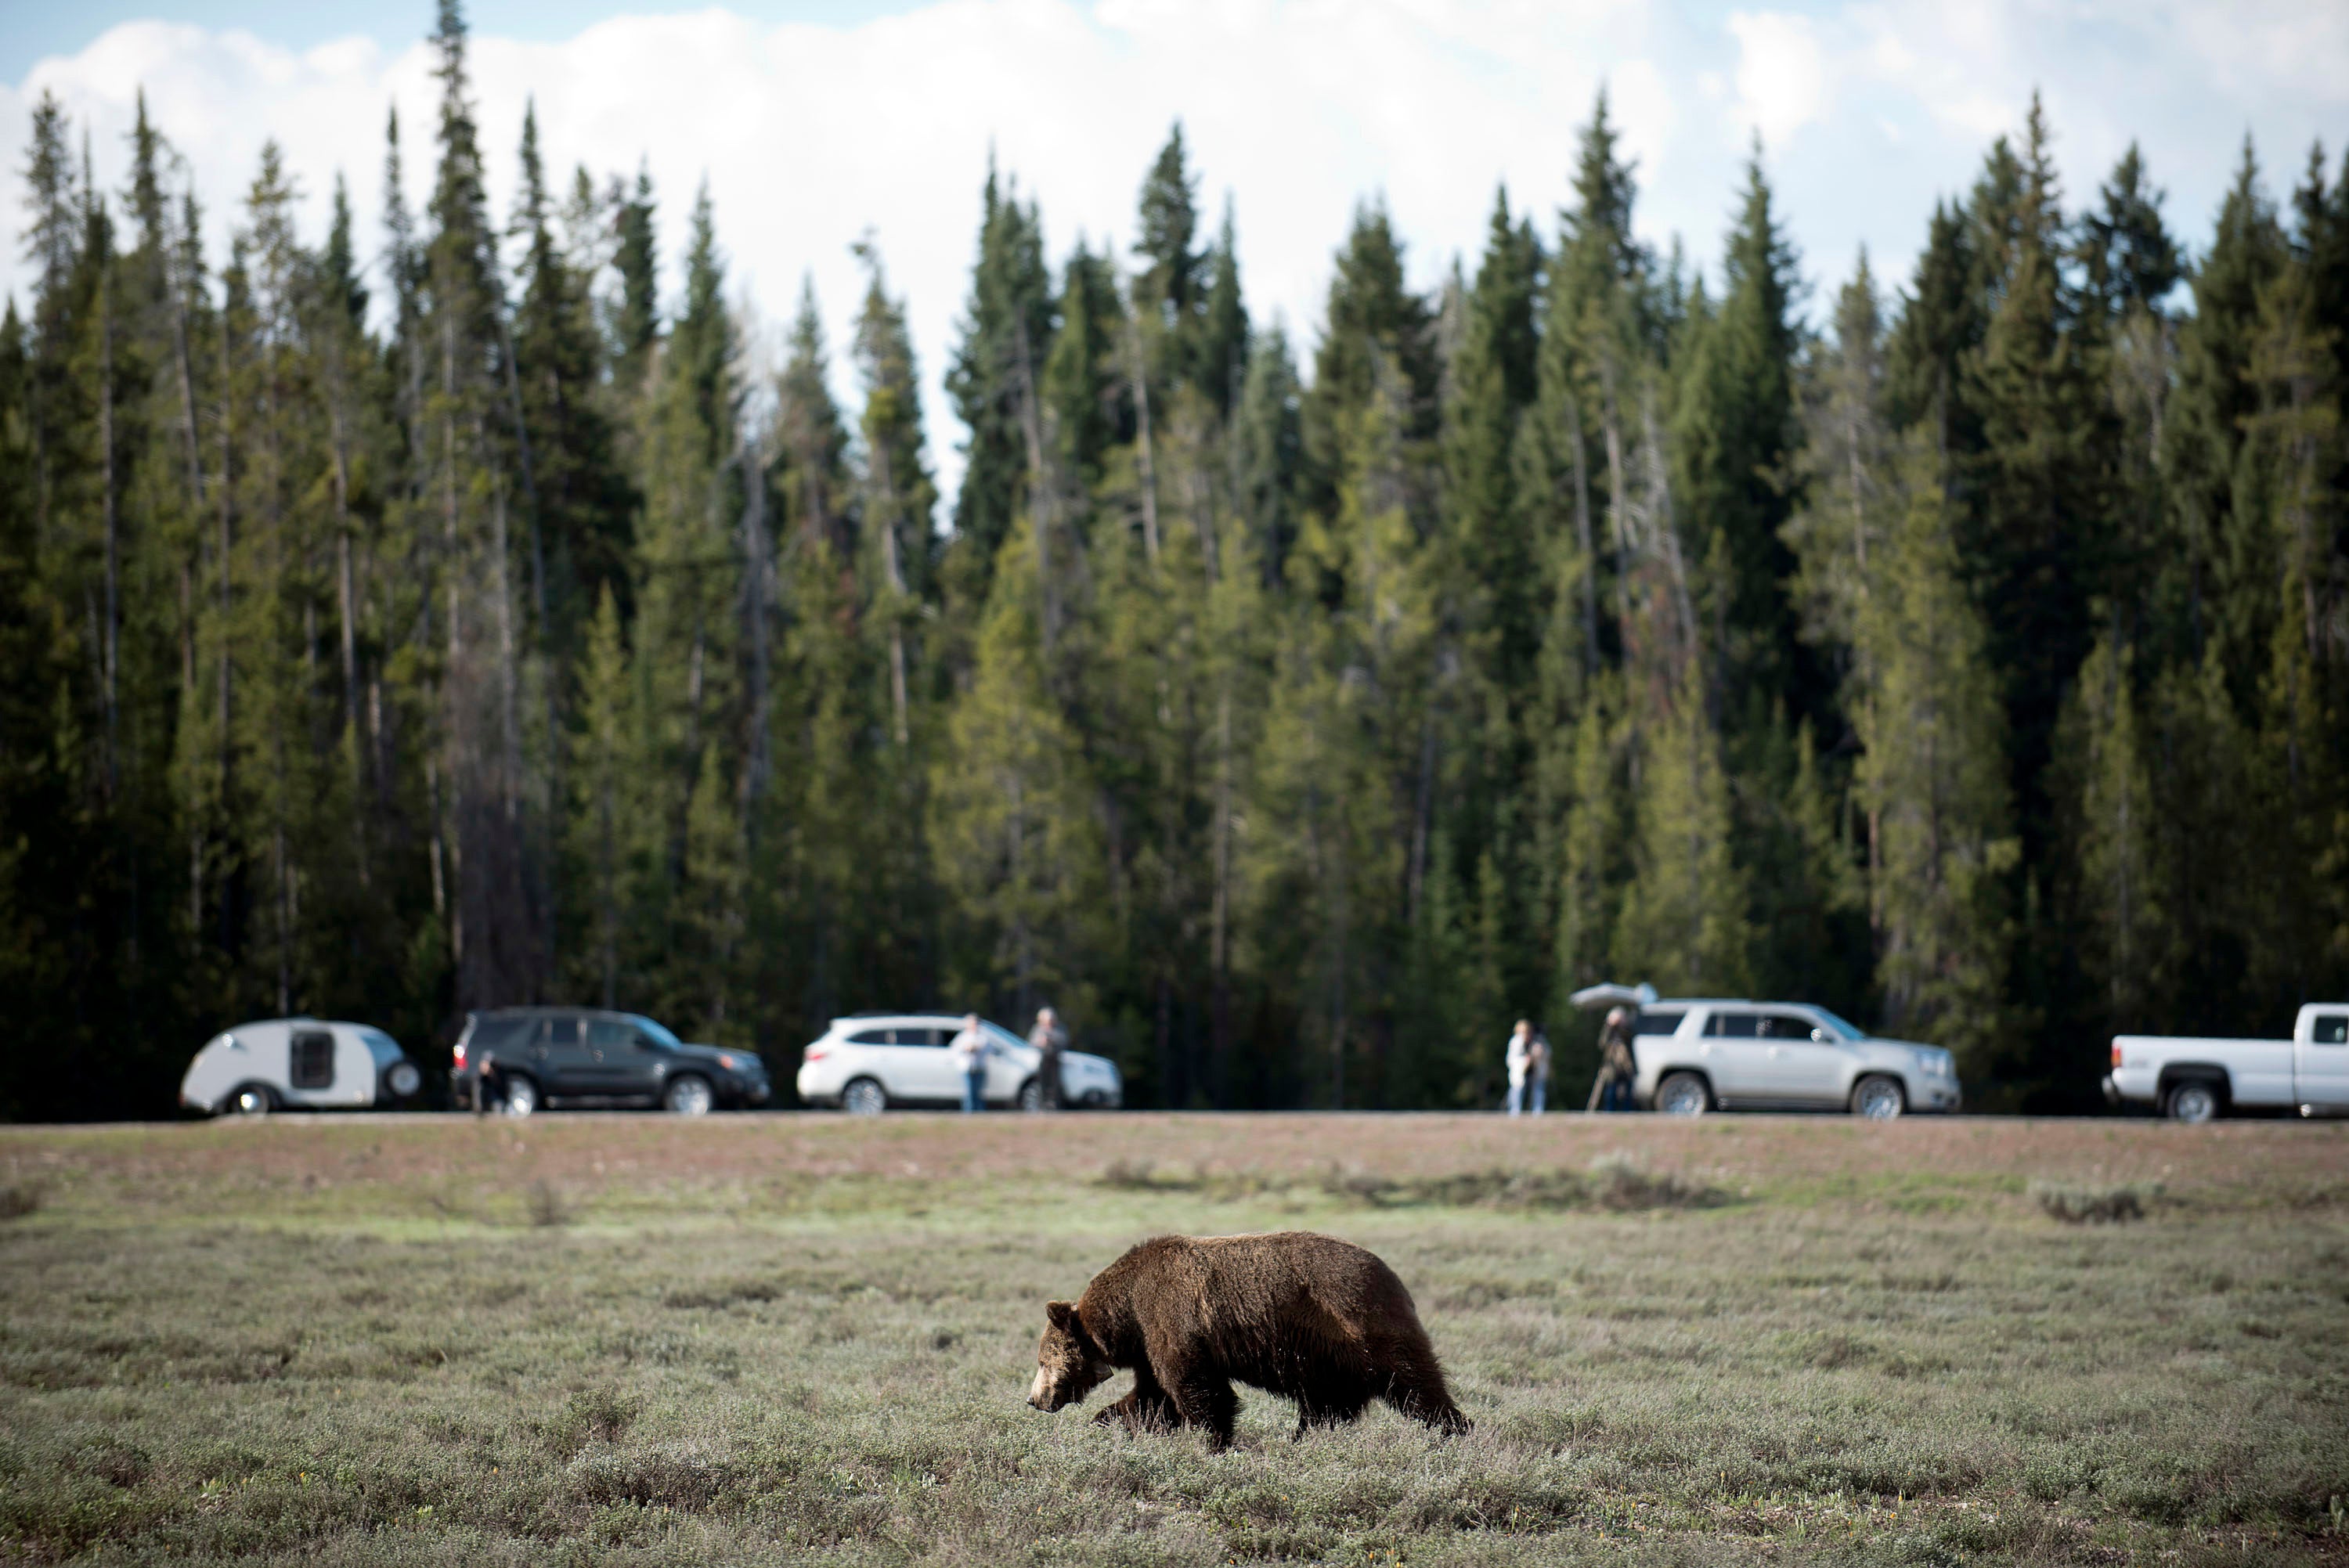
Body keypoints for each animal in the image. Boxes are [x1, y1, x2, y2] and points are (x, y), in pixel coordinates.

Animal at [1025, 1231, 1470, 1450]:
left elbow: (1197, 1390)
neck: (1128, 1314)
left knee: (1413, 1383)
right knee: (1328, 1405)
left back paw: (1454, 1431)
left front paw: (1214, 1441)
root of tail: (1394, 1277)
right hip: (1327, 1357)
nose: (1034, 1399)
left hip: (1354, 1324)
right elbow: (1153, 1397)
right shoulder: (1150, 1346)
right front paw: (1108, 1419)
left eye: (1042, 1361)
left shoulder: (1172, 1322)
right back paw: (1304, 1439)